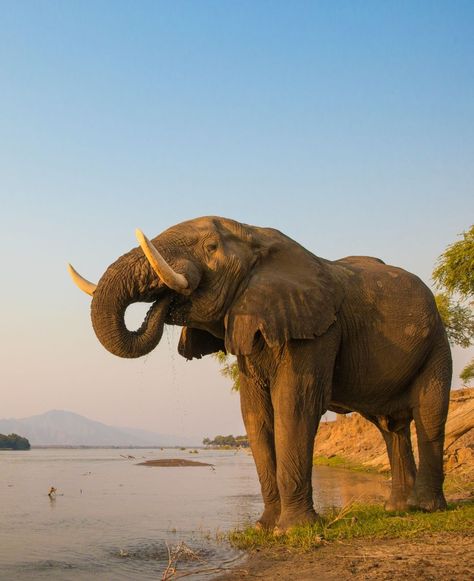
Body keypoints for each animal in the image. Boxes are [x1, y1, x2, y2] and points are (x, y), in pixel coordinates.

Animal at [69, 216, 452, 532]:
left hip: (437, 341)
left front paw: (292, 530)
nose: (165, 302)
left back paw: (425, 508)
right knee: (391, 427)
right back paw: (397, 509)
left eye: (211, 248)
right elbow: (255, 414)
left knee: (429, 415)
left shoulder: (316, 330)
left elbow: (294, 405)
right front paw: (264, 528)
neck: (257, 236)